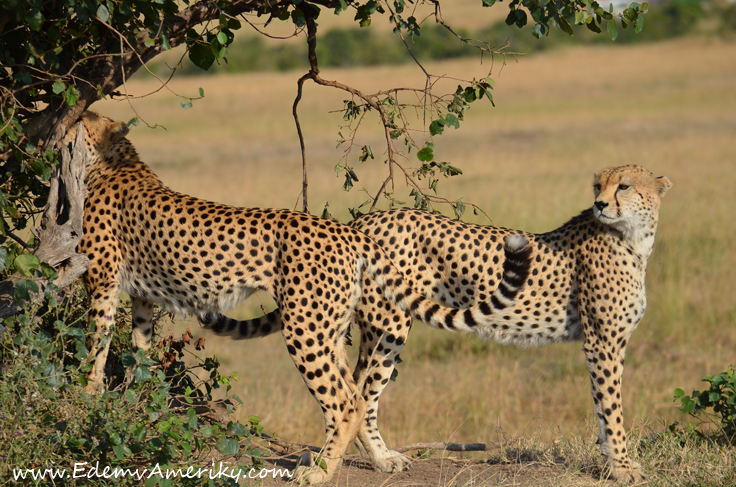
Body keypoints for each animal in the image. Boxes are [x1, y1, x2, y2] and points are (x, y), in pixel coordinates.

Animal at [69, 113, 532, 484]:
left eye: (77, 121)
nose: (62, 126)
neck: (113, 163)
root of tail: (349, 229)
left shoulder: (102, 281)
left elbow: (96, 344)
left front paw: (87, 398)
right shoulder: (140, 296)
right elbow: (139, 349)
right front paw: (130, 400)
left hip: (306, 328)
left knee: (343, 401)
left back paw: (321, 472)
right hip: (330, 327)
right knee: (359, 394)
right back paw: (375, 460)